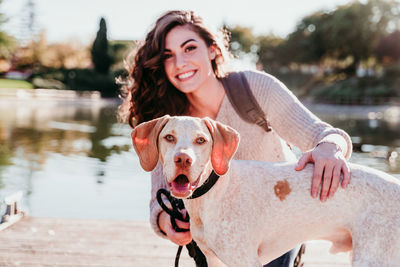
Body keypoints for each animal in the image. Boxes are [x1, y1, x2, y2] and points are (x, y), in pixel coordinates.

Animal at [132, 116, 400, 267]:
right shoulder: (214, 260)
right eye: (169, 137)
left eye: (201, 141)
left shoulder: (246, 261)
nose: (183, 160)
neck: (213, 194)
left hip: (372, 259)